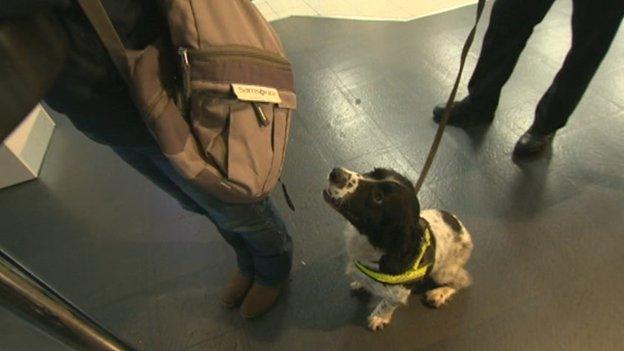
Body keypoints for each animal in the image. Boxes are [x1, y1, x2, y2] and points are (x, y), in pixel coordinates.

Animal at [322, 169, 472, 332]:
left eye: (378, 198)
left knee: (462, 280)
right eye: (373, 172)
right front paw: (359, 283)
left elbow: (387, 304)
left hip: (442, 273)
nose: (336, 172)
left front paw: (379, 317)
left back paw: (439, 294)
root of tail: (463, 229)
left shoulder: (398, 294)